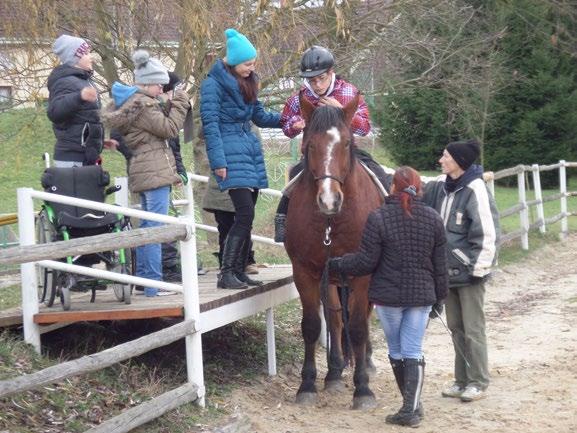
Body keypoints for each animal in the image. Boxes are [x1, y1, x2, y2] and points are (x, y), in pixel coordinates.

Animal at [284, 94, 382, 408]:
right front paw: (307, 385)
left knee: (361, 316)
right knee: (337, 318)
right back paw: (335, 373)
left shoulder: (363, 275)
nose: (329, 200)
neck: (332, 222)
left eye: (347, 143)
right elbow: (313, 325)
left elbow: (360, 326)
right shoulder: (306, 272)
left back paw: (366, 363)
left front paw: (362, 389)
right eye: (309, 145)